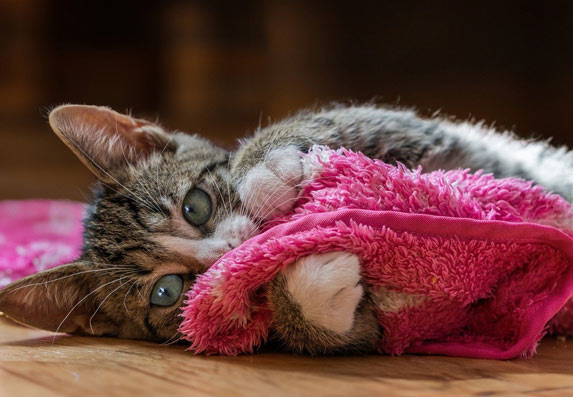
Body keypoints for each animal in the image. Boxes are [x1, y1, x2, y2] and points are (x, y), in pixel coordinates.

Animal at [1, 104, 572, 352]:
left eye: (195, 206)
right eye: (167, 291)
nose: (227, 252)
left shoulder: (399, 126)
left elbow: (316, 119)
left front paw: (262, 170)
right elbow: (363, 333)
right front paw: (309, 286)